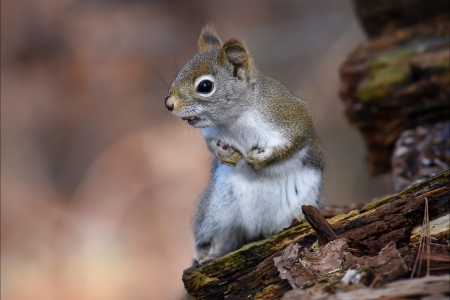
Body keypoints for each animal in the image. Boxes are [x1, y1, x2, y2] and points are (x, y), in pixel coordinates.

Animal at [165, 25, 324, 264]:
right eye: (179, 72)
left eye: (205, 86)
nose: (169, 104)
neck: (234, 119)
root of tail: (255, 227)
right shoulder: (212, 131)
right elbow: (211, 143)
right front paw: (223, 154)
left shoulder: (292, 119)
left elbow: (295, 143)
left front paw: (260, 160)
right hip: (213, 210)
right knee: (206, 235)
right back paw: (202, 255)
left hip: (304, 197)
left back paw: (297, 219)